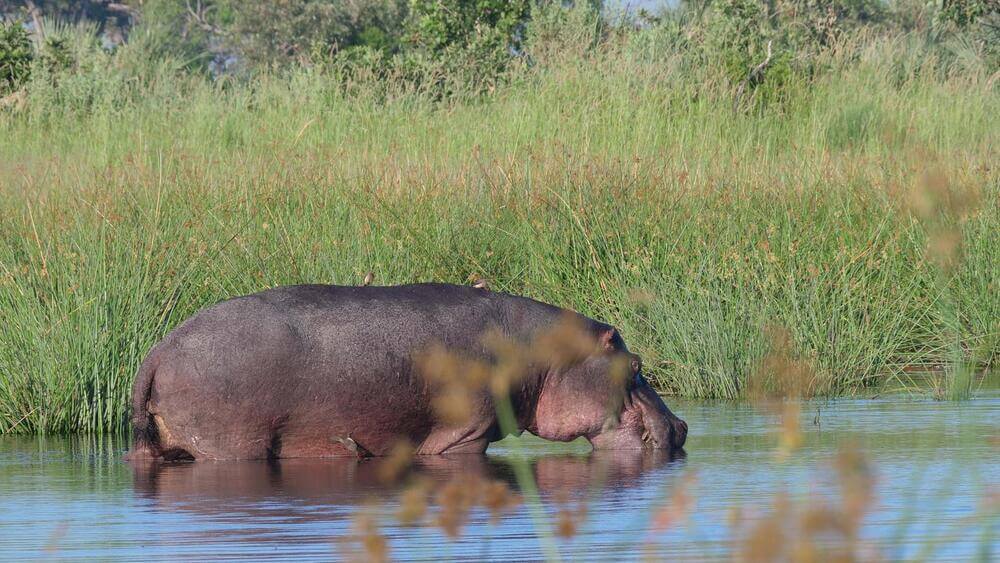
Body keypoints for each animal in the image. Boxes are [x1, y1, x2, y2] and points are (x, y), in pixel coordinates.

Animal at [127, 284, 688, 460]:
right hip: (232, 443)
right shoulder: (464, 436)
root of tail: (158, 351)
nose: (682, 426)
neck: (544, 354)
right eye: (635, 365)